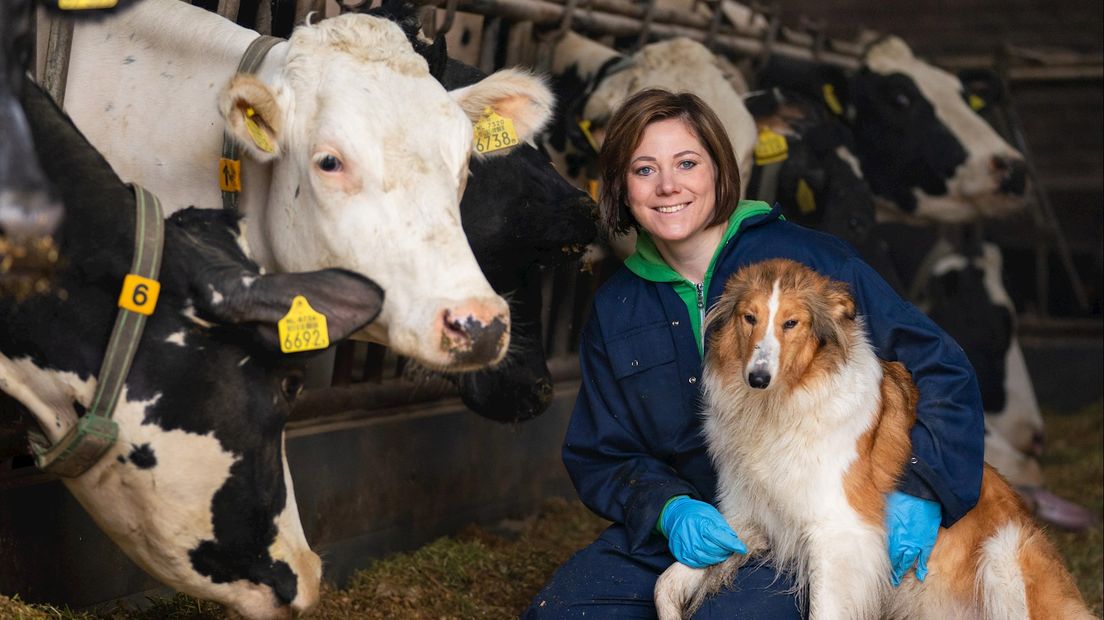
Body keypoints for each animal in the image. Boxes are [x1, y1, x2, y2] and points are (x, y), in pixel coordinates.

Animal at [649, 257, 1090, 617]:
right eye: (749, 318)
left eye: (791, 323)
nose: (757, 378)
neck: (780, 407)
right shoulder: (748, 519)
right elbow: (666, 583)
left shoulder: (840, 535)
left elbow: (825, 609)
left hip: (1006, 551)